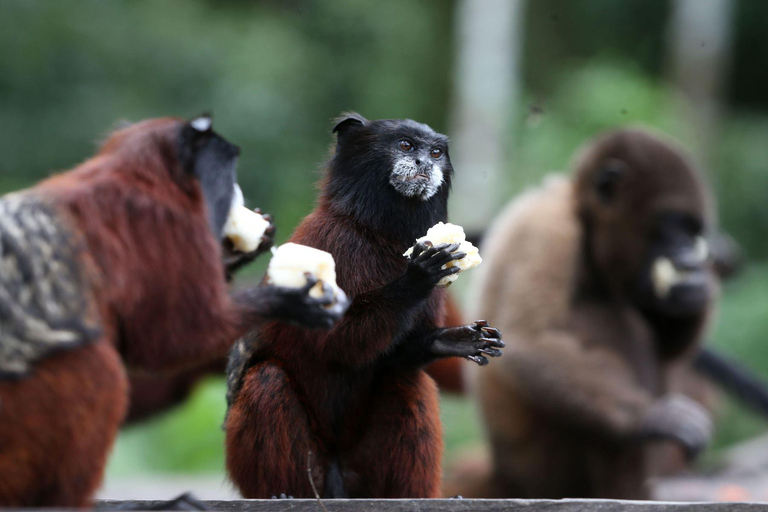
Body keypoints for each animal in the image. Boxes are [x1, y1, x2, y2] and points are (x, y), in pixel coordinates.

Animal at [0, 115, 342, 508]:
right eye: (227, 174)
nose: (236, 194)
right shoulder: (161, 221)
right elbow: (172, 340)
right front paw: (285, 301)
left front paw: (237, 252)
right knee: (100, 370)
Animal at [225, 113, 508, 500]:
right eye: (406, 145)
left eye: (435, 153)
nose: (424, 164)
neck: (377, 234)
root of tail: (337, 474)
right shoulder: (330, 243)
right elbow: (336, 343)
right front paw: (415, 278)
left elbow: (394, 356)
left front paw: (454, 340)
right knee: (266, 381)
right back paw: (284, 494)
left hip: (363, 471)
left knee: (406, 378)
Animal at [450, 129, 720, 500]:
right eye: (672, 225)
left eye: (691, 231)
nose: (686, 255)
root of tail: (505, 474)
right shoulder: (548, 231)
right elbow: (530, 340)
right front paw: (652, 417)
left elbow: (669, 347)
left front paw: (692, 289)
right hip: (546, 470)